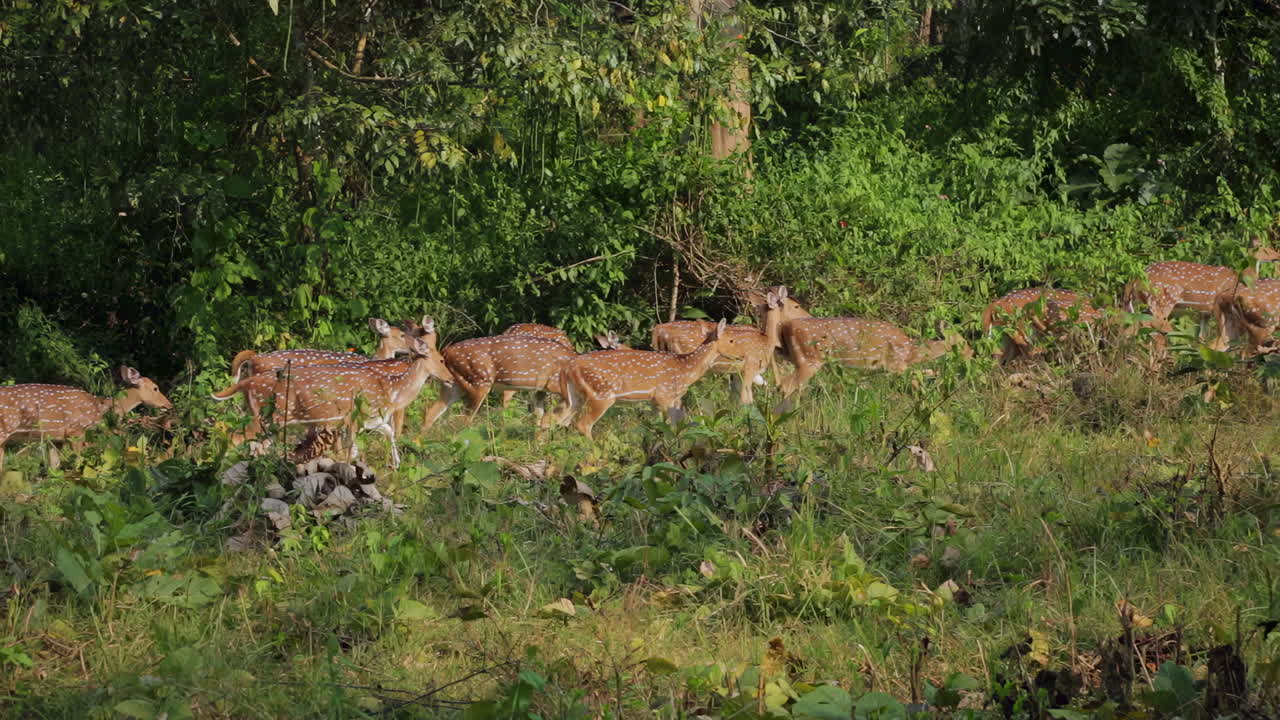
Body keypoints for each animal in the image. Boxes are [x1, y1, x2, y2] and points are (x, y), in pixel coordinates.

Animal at [0, 366, 173, 469]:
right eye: (155, 388)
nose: (169, 404)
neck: (99, 408)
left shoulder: (55, 438)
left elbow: (54, 466)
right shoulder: (76, 430)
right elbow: (79, 461)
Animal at [558, 319, 733, 440]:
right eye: (732, 340)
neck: (685, 370)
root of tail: (568, 367)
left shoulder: (658, 400)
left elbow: (660, 426)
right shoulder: (664, 395)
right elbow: (669, 426)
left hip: (575, 396)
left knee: (559, 420)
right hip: (601, 395)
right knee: (582, 424)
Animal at [774, 317, 968, 413]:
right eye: (962, 341)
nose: (971, 352)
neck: (911, 351)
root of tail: (785, 325)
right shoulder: (895, 365)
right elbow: (914, 383)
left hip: (790, 356)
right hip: (809, 359)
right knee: (786, 385)